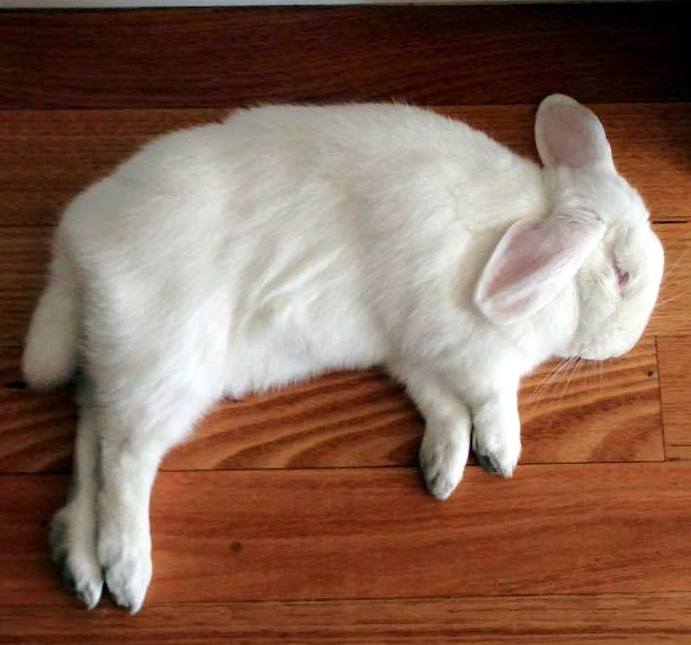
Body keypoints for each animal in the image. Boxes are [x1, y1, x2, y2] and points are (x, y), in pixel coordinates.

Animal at [22, 95, 664, 613]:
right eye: (622, 275)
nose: (628, 342)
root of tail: (76, 249)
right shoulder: (466, 353)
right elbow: (489, 400)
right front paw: (502, 454)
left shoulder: (411, 349)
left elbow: (443, 409)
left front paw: (443, 470)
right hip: (166, 370)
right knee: (124, 458)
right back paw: (126, 571)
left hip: (121, 363)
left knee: (91, 436)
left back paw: (80, 568)